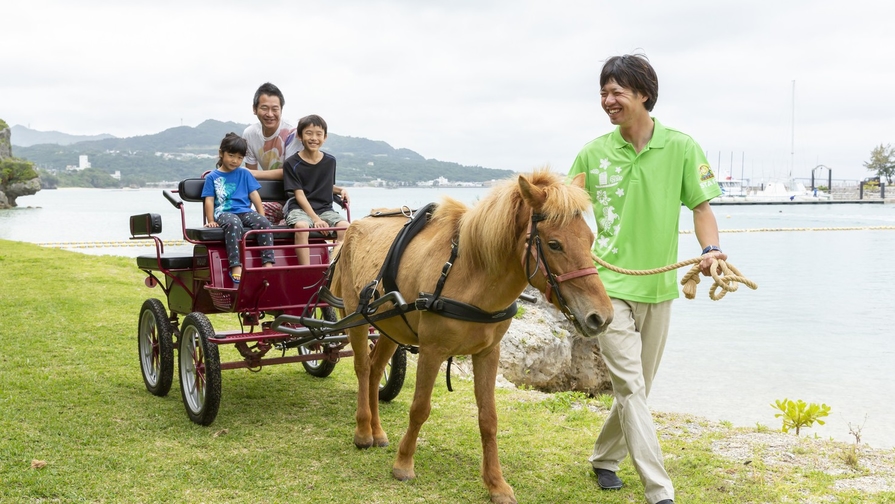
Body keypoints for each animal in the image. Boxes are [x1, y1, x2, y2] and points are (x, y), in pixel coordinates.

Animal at [330, 170, 616, 504]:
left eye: (590, 239)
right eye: (554, 244)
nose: (601, 316)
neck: (468, 273)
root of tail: (354, 228)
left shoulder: (488, 353)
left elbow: (488, 419)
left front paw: (496, 483)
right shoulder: (432, 351)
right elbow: (420, 408)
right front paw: (403, 463)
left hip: (390, 325)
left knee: (376, 370)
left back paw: (376, 430)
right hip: (357, 316)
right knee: (363, 369)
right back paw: (363, 431)